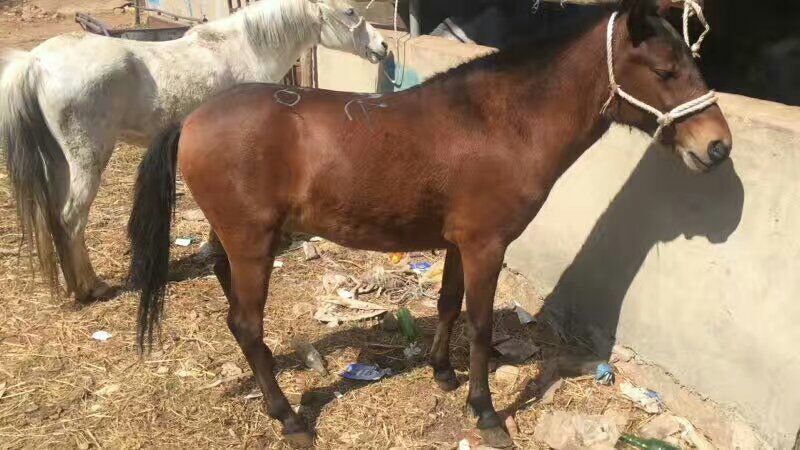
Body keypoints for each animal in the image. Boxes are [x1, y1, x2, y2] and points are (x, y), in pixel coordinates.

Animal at [0, 0, 387, 304]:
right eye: (350, 11)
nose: (383, 46)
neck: (246, 48)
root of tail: (35, 62)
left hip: (58, 162)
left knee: (54, 217)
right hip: (86, 159)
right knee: (71, 218)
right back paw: (90, 287)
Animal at [127, 0, 732, 446]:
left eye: (692, 64)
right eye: (665, 71)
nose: (718, 146)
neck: (497, 122)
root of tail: (191, 118)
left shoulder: (460, 242)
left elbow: (447, 303)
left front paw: (442, 373)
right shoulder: (487, 245)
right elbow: (481, 325)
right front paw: (485, 413)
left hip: (237, 240)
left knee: (228, 294)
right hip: (254, 244)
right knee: (247, 325)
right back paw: (291, 419)